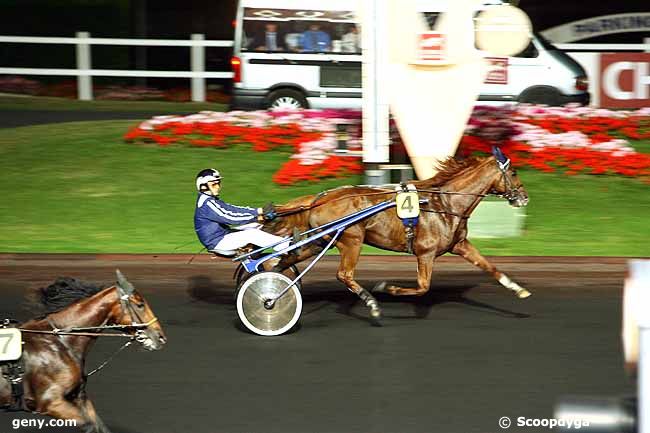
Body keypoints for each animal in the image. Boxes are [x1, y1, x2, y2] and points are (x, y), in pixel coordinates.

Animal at [0, 270, 166, 432]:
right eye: (140, 304)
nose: (161, 337)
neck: (61, 342)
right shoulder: (51, 402)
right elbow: (89, 425)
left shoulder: (79, 397)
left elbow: (99, 426)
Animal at [266, 150, 528, 322]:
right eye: (514, 172)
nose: (524, 197)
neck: (445, 204)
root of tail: (319, 198)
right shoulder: (425, 253)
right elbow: (423, 287)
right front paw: (386, 288)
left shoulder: (460, 245)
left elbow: (490, 267)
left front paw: (518, 289)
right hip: (351, 240)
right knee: (344, 274)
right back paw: (371, 303)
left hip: (320, 241)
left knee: (284, 261)